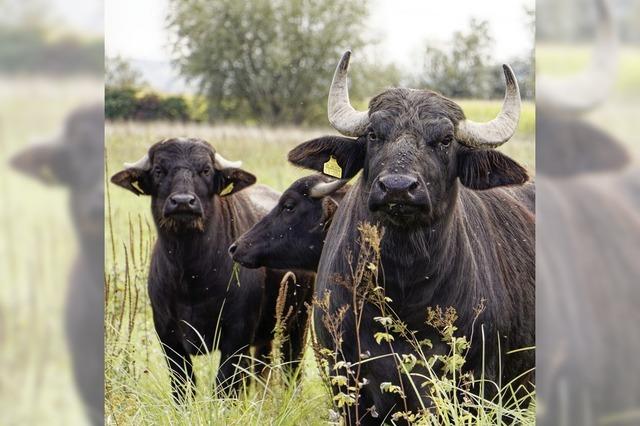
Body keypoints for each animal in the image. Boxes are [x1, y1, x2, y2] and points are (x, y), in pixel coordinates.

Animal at [110, 138, 316, 402]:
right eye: (158, 170)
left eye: (206, 170)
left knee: (292, 368)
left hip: (298, 322)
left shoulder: (236, 335)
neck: (192, 276)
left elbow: (224, 386)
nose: (183, 202)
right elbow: (183, 386)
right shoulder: (168, 336)